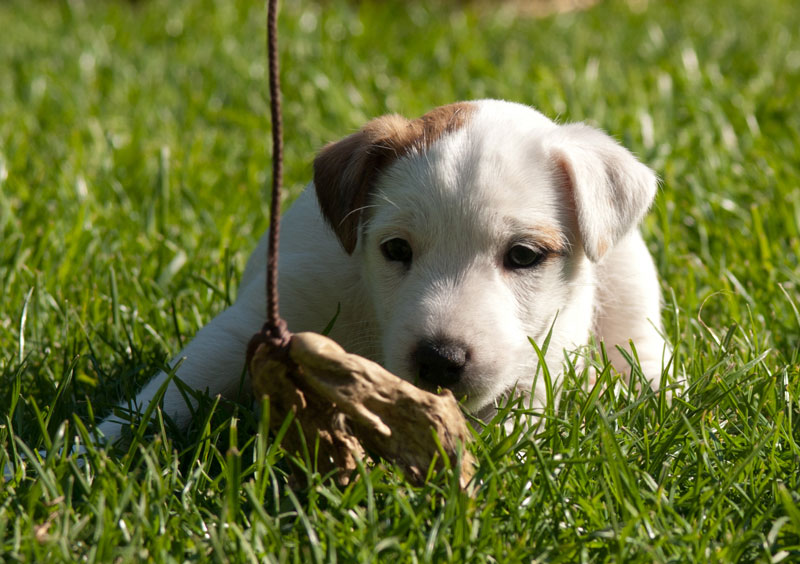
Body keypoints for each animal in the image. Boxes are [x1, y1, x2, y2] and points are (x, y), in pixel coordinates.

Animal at [97, 101, 668, 442]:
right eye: (395, 249)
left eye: (524, 256)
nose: (440, 360)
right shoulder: (260, 319)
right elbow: (167, 391)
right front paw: (95, 452)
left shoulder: (534, 362)